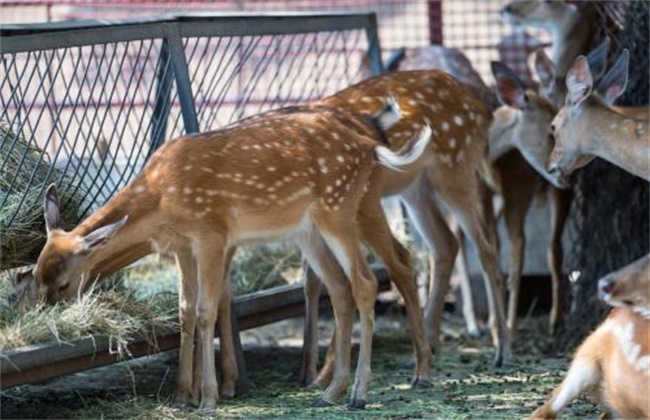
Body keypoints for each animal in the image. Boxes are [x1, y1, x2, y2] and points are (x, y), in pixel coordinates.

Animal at [27, 103, 430, 408]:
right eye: (34, 275)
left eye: (64, 284)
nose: (47, 319)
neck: (162, 198)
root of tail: (370, 143)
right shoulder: (182, 246)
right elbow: (185, 312)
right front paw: (181, 396)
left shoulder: (211, 233)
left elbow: (207, 311)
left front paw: (209, 397)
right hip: (311, 229)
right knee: (340, 287)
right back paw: (330, 391)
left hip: (341, 209)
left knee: (369, 279)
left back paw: (366, 391)